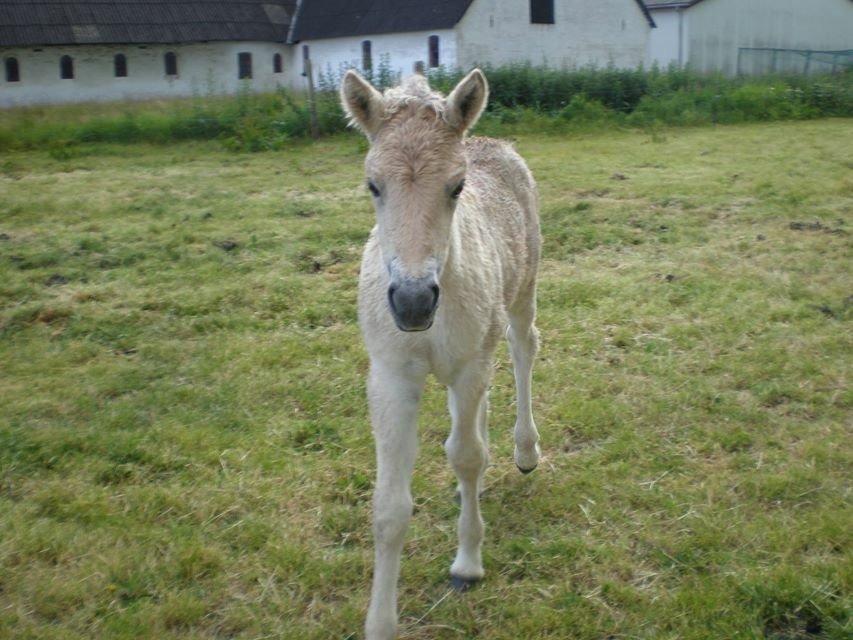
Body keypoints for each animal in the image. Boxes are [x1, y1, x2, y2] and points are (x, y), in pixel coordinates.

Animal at [340, 70, 540, 640]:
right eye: (373, 185)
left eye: (457, 187)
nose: (412, 300)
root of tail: (492, 142)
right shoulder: (391, 377)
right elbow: (389, 504)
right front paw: (380, 623)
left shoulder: (469, 365)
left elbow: (466, 456)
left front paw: (467, 564)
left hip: (522, 292)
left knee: (523, 349)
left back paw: (524, 452)